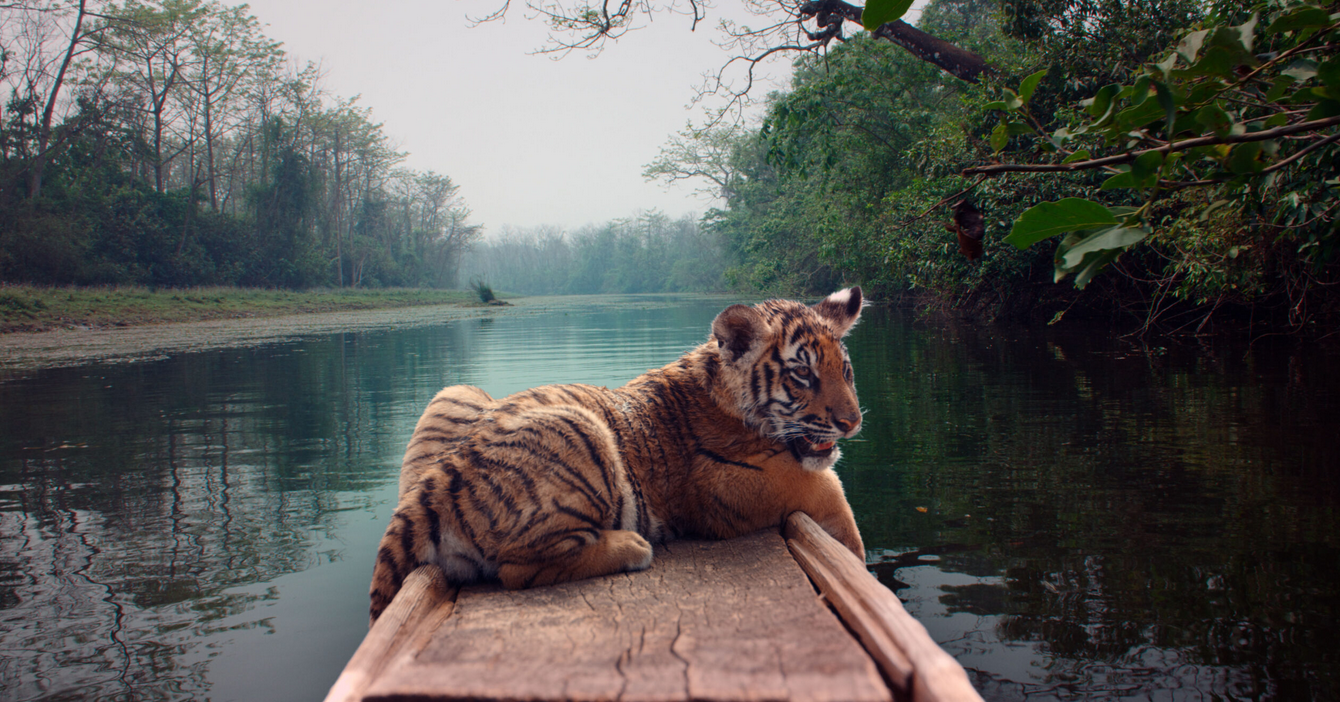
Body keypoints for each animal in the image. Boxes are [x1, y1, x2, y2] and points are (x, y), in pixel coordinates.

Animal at [368, 287, 868, 624]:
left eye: (844, 370)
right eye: (802, 374)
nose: (853, 422)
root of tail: (427, 489)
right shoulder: (732, 482)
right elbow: (830, 492)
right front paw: (857, 562)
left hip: (455, 391)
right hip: (579, 427)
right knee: (515, 570)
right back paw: (631, 547)